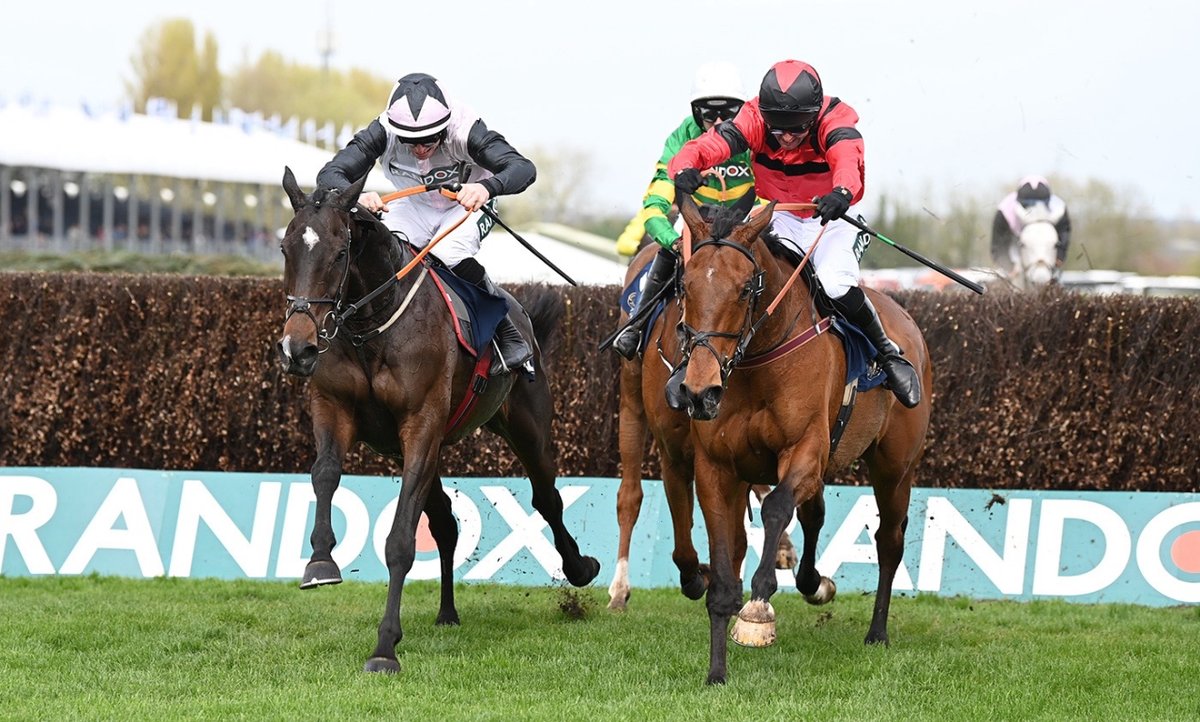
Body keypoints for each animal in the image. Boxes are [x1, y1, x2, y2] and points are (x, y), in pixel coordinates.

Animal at [274, 165, 597, 671]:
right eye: (286, 249)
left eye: (340, 252)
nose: (298, 348)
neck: (373, 326)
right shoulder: (334, 406)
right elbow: (324, 473)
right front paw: (321, 563)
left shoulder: (421, 423)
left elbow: (400, 543)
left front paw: (385, 647)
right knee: (445, 523)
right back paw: (447, 612)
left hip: (527, 428)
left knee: (547, 498)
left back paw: (580, 568)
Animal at [609, 239, 796, 606]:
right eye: (687, 288)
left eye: (745, 290)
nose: (700, 391)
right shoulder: (675, 449)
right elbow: (686, 541)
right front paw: (702, 577)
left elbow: (736, 530)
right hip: (631, 401)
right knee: (629, 494)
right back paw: (619, 588)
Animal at [672, 194, 931, 681]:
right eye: (685, 287)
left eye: (744, 289)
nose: (700, 391)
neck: (758, 359)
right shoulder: (716, 469)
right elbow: (723, 569)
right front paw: (717, 671)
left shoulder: (805, 450)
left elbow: (775, 507)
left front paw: (757, 610)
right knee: (814, 515)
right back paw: (814, 583)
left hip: (894, 467)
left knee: (888, 540)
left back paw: (877, 632)